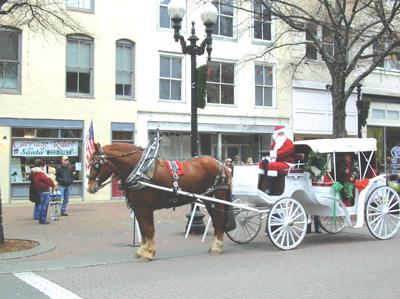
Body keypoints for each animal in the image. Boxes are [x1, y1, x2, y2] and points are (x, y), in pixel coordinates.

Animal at [86, 142, 233, 262]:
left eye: (97, 165)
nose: (89, 187)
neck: (140, 170)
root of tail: (222, 165)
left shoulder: (145, 208)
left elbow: (149, 229)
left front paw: (149, 252)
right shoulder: (138, 208)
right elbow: (143, 230)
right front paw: (142, 250)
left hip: (217, 197)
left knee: (219, 219)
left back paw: (216, 247)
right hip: (208, 200)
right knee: (216, 220)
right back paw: (215, 246)